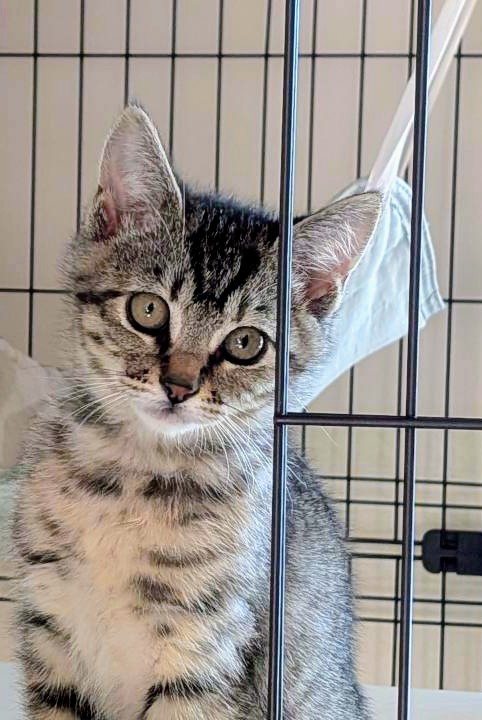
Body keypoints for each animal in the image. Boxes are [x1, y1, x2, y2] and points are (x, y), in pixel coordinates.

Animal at [12, 105, 382, 720]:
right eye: (148, 309)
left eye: (245, 344)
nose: (178, 386)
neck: (129, 481)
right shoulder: (50, 636)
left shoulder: (207, 658)